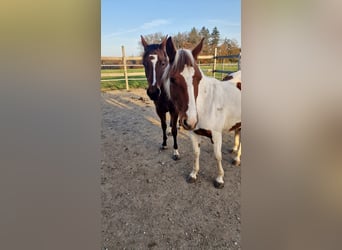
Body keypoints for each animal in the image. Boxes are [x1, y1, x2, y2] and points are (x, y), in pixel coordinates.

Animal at [162, 37, 240, 188]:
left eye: (198, 78)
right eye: (173, 79)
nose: (190, 121)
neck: (206, 105)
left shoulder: (216, 135)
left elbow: (217, 156)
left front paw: (219, 179)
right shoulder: (194, 133)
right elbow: (196, 153)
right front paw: (193, 174)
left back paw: (237, 159)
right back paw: (234, 152)